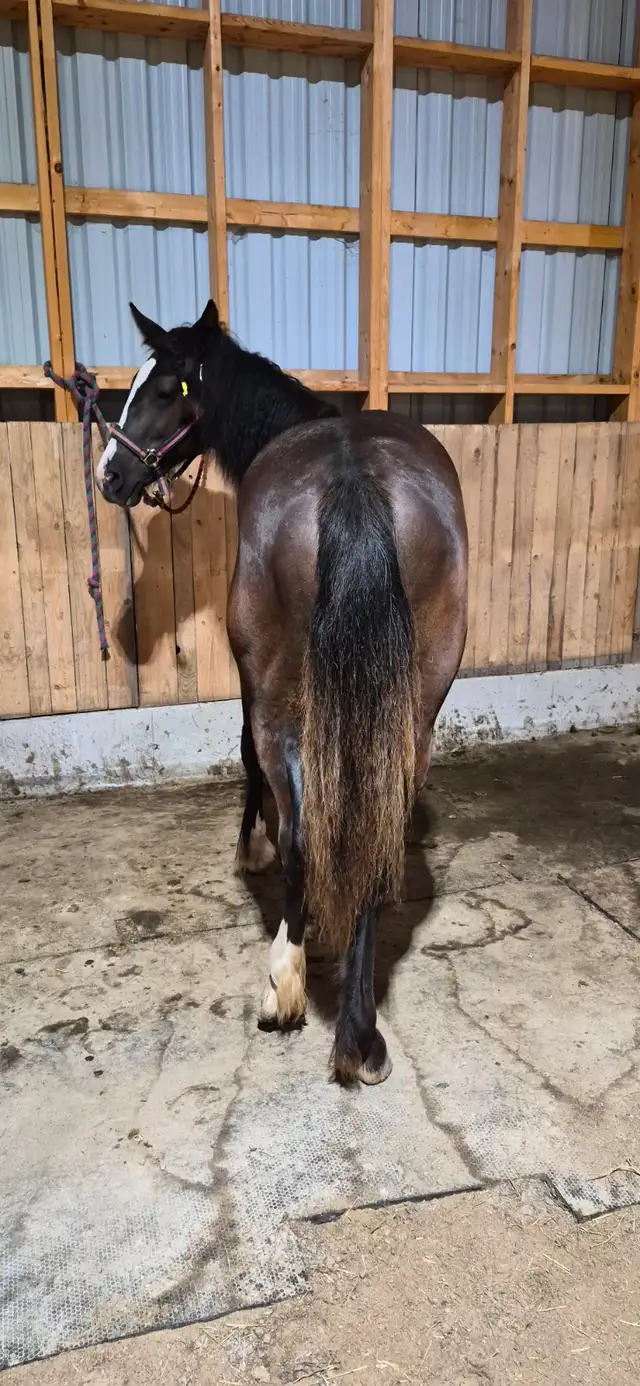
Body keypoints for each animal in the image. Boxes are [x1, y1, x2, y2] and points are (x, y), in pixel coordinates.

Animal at [96, 300, 468, 1085]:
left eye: (165, 388)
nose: (110, 474)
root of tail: (353, 478)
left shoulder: (254, 686)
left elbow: (246, 760)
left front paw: (250, 849)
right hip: (417, 707)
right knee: (375, 830)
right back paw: (361, 1035)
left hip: (278, 695)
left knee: (300, 831)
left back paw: (286, 990)